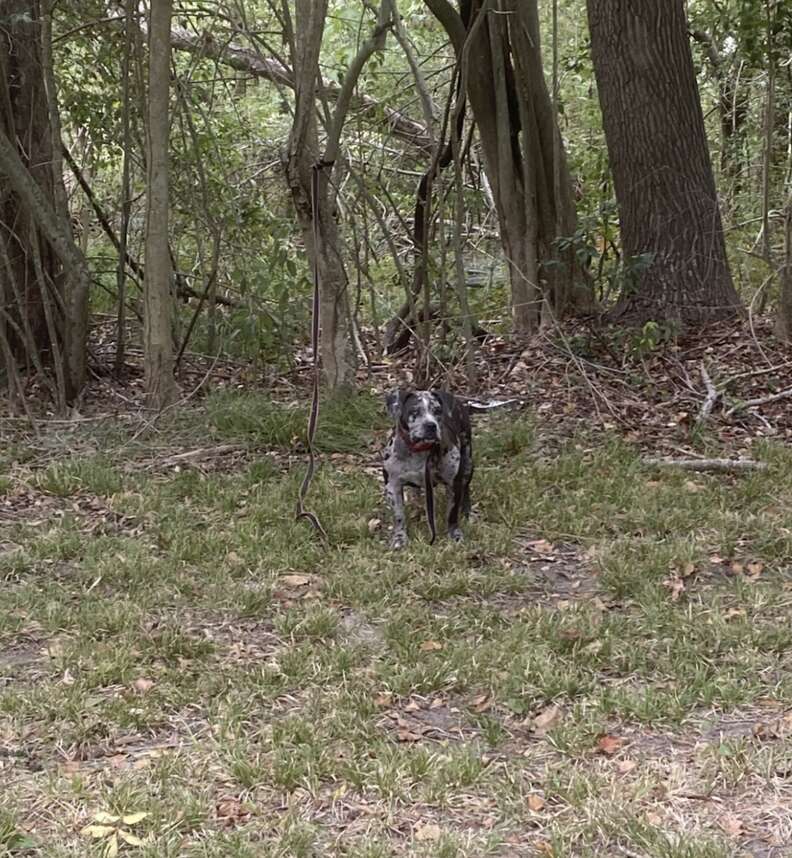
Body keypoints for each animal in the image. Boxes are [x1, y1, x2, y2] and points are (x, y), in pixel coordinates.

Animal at [382, 388, 474, 548]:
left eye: (437, 410)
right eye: (414, 411)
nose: (430, 425)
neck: (420, 451)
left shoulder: (453, 483)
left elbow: (452, 513)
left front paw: (454, 534)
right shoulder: (392, 486)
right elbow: (399, 516)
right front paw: (399, 538)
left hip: (468, 463)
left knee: (466, 488)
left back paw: (467, 512)